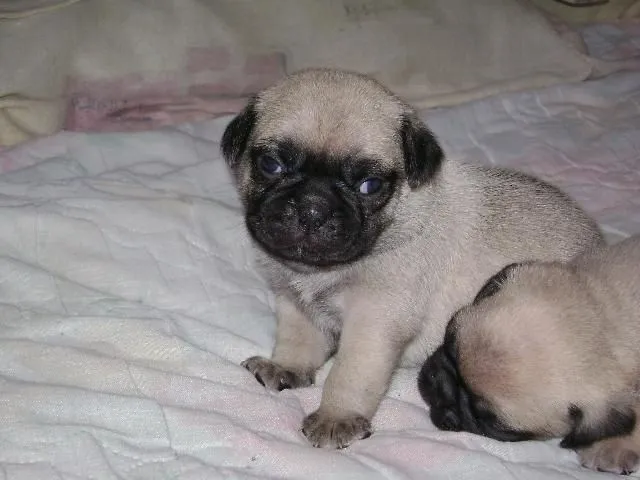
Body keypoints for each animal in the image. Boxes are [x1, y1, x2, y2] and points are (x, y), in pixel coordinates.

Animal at [221, 68, 604, 450]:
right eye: (271, 165)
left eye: (370, 186)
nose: (313, 207)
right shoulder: (295, 302)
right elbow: (298, 341)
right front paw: (286, 367)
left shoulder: (374, 324)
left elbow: (350, 375)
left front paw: (336, 417)